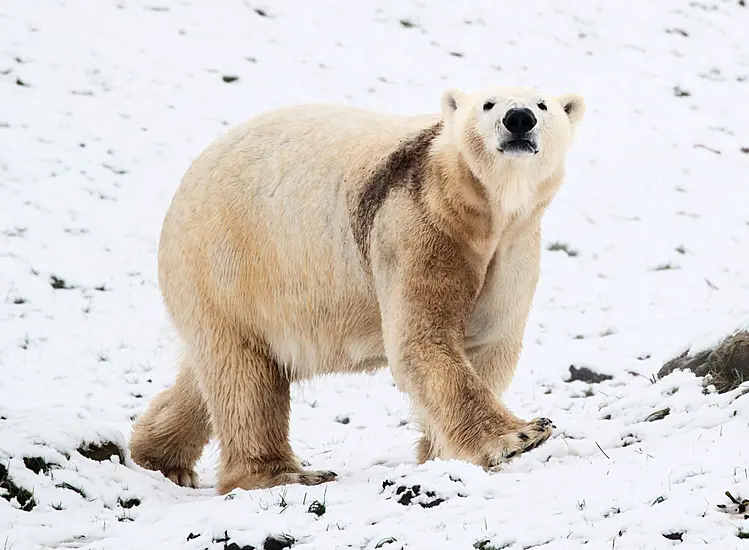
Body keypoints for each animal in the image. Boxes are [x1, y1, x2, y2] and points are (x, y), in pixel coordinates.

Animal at [129, 86, 584, 496]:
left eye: (542, 104)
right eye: (488, 104)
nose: (519, 119)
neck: (483, 211)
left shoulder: (513, 247)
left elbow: (488, 340)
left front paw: (438, 453)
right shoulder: (415, 225)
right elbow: (422, 339)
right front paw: (523, 435)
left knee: (209, 374)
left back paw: (159, 458)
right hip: (228, 262)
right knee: (245, 377)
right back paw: (284, 475)